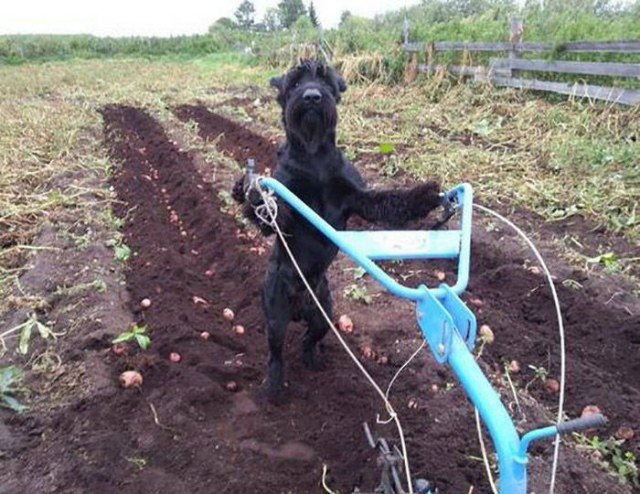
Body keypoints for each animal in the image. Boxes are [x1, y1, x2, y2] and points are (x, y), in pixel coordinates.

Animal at [235, 58, 444, 400]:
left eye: (325, 81)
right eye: (294, 83)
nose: (311, 97)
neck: (314, 155)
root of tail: (301, 307)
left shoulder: (358, 198)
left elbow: (391, 200)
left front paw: (425, 194)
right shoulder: (288, 210)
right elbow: (272, 216)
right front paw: (249, 192)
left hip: (325, 314)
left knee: (310, 338)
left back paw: (314, 359)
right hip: (275, 316)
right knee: (275, 353)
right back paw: (274, 387)